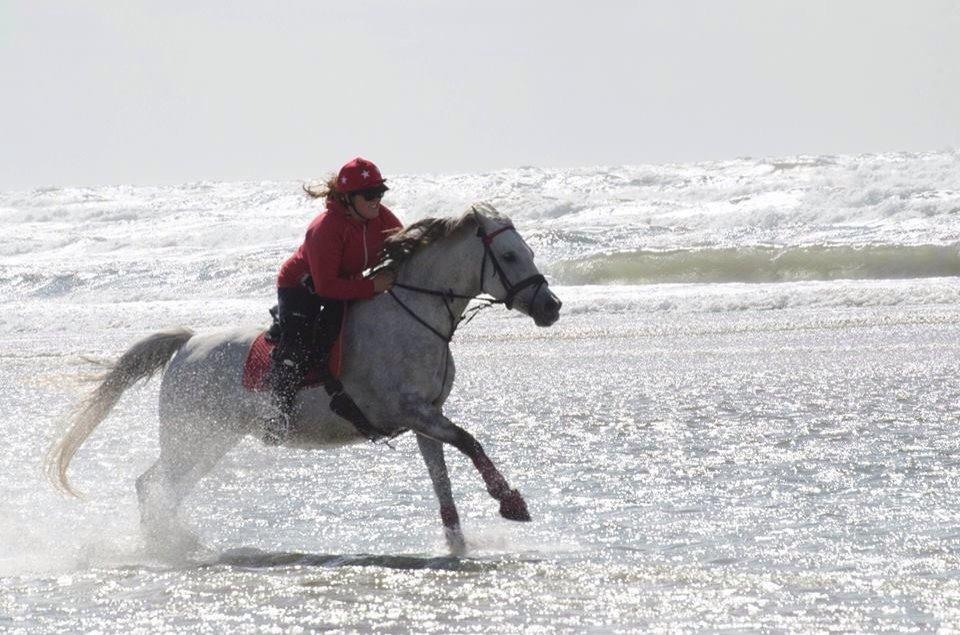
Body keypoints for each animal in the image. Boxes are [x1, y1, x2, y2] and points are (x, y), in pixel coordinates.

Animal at [47, 201, 564, 556]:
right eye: (511, 257)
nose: (551, 306)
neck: (414, 315)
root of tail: (187, 345)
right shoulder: (411, 412)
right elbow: (471, 441)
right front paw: (510, 502)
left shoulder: (426, 418)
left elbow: (443, 477)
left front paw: (458, 544)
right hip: (193, 437)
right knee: (154, 486)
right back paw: (170, 547)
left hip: (211, 440)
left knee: (160, 487)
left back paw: (178, 543)